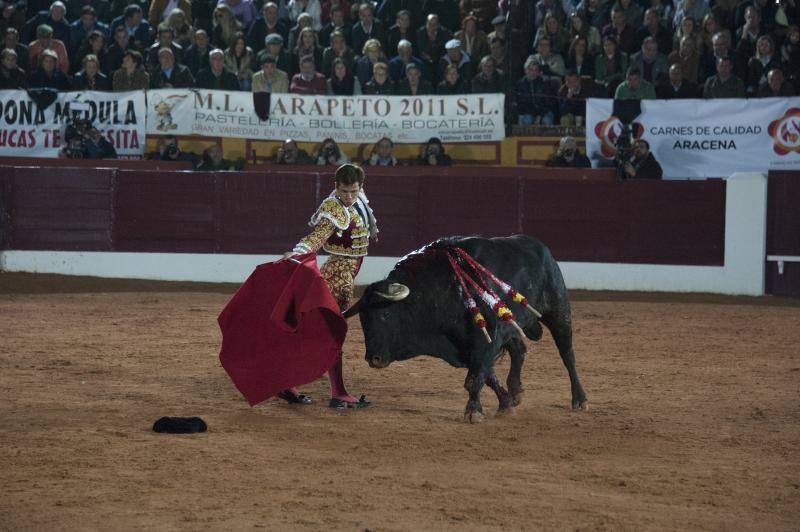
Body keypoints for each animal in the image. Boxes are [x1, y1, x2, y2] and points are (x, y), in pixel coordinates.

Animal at [344, 235, 588, 422]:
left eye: (384, 314)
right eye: (362, 319)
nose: (373, 359)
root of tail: (541, 248)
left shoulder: (485, 340)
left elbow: (474, 379)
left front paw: (473, 412)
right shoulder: (472, 344)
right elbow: (486, 375)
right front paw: (506, 402)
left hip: (558, 310)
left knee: (567, 354)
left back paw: (580, 399)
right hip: (511, 325)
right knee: (519, 350)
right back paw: (516, 389)